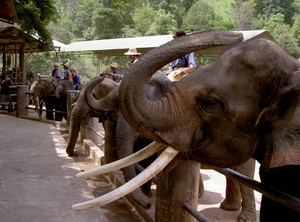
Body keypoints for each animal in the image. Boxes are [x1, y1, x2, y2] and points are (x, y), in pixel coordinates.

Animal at [84, 70, 255, 220]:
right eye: (117, 108)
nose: (147, 205)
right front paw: (144, 193)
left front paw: (146, 194)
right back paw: (226, 206)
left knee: (244, 171)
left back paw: (244, 218)